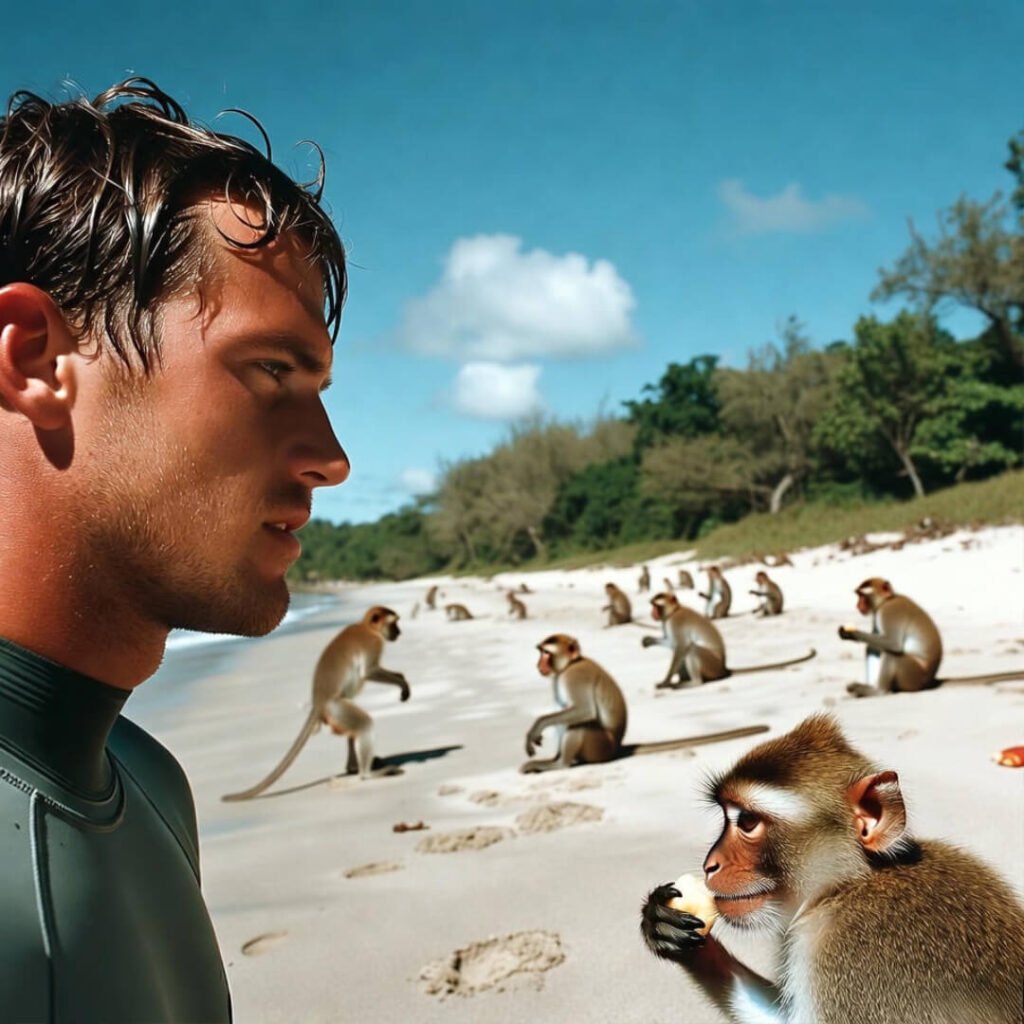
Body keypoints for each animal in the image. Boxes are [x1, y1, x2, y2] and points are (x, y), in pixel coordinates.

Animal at [222, 606, 410, 800]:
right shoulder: (373, 643)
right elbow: (369, 672)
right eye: (394, 624)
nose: (399, 632)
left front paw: (402, 680)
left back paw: (354, 768)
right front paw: (402, 683)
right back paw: (366, 774)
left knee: (353, 730)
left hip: (334, 713)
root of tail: (318, 701)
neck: (368, 628)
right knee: (364, 724)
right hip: (335, 706)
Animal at [521, 635, 770, 773]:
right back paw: (555, 759)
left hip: (599, 747)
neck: (569, 665)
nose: (538, 664)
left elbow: (585, 710)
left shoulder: (574, 677)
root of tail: (617, 747)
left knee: (579, 722)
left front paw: (536, 727)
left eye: (546, 653)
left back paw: (560, 764)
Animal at [642, 592, 815, 688]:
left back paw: (691, 682)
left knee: (691, 648)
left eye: (656, 604)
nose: (652, 613)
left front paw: (665, 682)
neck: (674, 611)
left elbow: (680, 647)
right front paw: (648, 640)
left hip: (711, 665)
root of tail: (723, 668)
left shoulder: (676, 622)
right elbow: (670, 643)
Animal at [841, 577, 1024, 697]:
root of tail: (929, 680)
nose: (858, 605)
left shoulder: (888, 613)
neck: (887, 600)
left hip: (912, 675)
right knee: (874, 648)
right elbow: (876, 643)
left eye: (862, 596)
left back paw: (879, 691)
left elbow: (893, 644)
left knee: (892, 653)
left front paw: (850, 633)